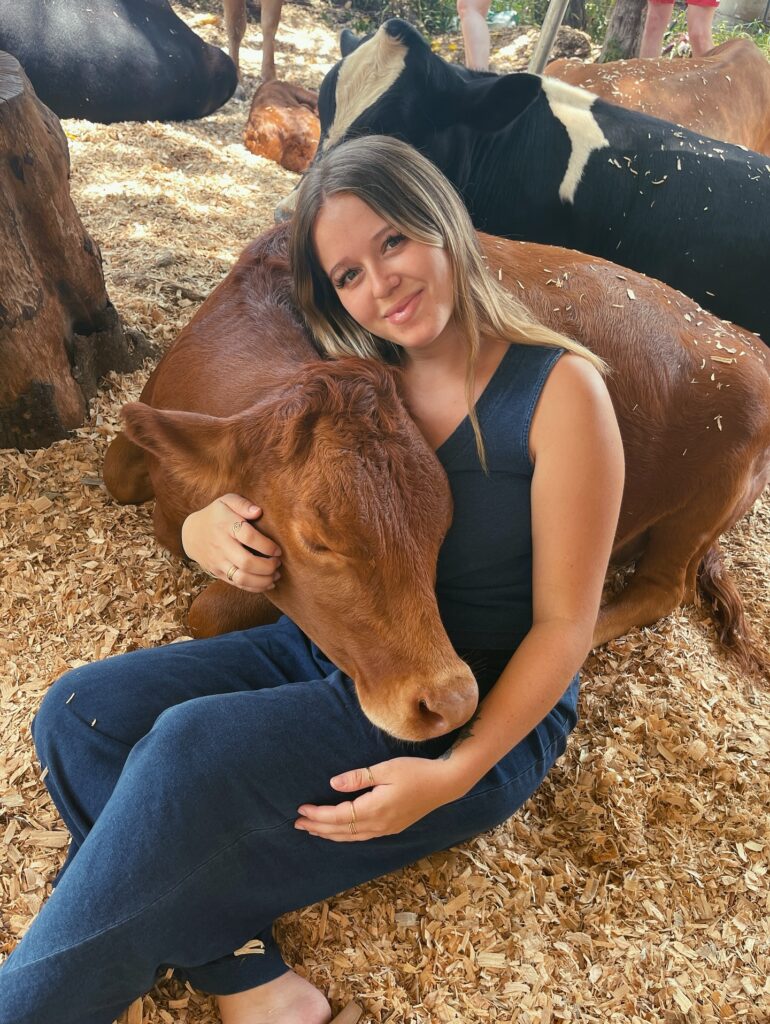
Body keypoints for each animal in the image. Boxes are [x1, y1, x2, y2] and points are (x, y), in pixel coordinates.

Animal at [103, 223, 770, 692]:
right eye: (317, 538)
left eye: (442, 530)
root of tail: (745, 339)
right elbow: (116, 472)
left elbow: (207, 611)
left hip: (702, 505)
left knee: (661, 588)